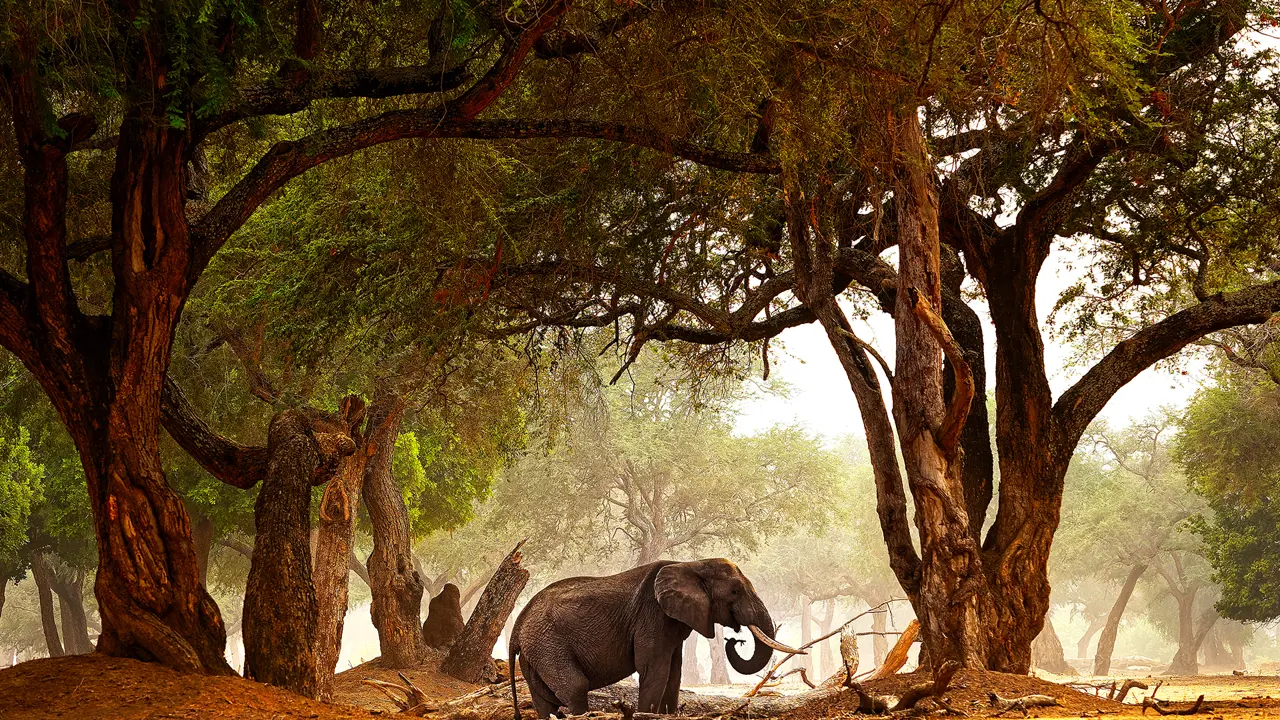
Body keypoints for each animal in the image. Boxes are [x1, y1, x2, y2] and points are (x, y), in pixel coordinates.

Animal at [504, 558, 793, 712]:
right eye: (735, 591)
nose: (735, 640)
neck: (692, 563)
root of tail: (517, 628)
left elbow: (673, 673)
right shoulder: (652, 617)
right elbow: (654, 670)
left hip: (536, 651)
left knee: (545, 701)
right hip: (546, 642)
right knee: (575, 688)